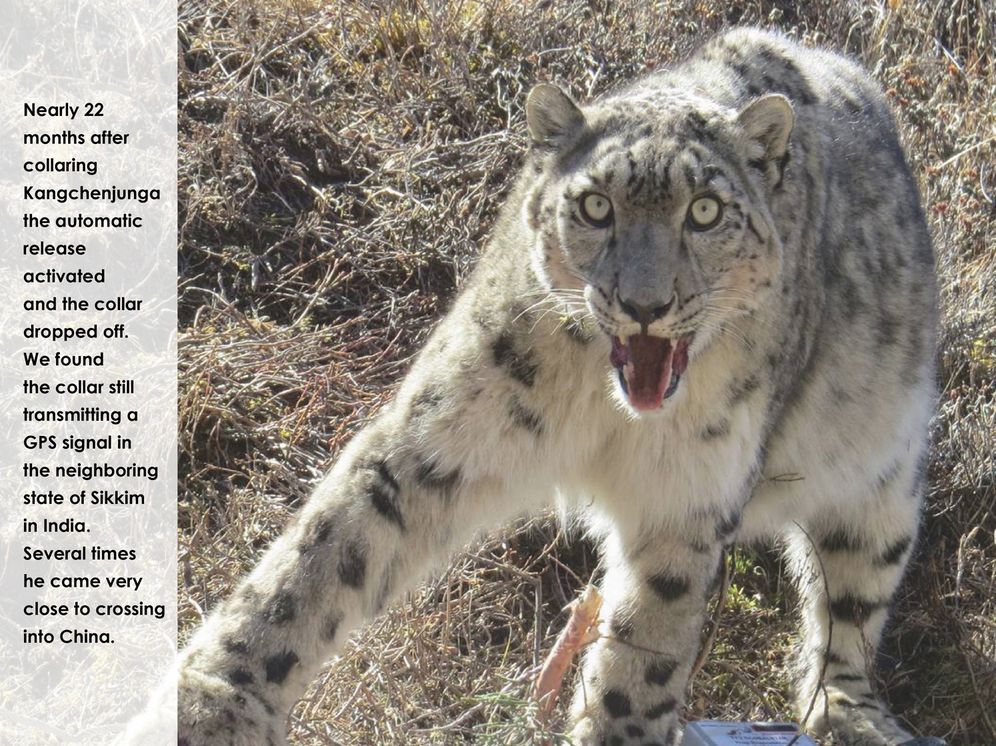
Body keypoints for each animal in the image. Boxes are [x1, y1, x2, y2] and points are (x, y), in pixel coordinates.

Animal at [143, 27, 948, 746]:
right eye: (595, 206)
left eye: (705, 211)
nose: (645, 304)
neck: (606, 413)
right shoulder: (444, 431)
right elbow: (327, 552)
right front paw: (214, 704)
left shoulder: (686, 497)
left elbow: (647, 646)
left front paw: (619, 728)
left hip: (883, 480)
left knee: (848, 611)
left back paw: (853, 717)